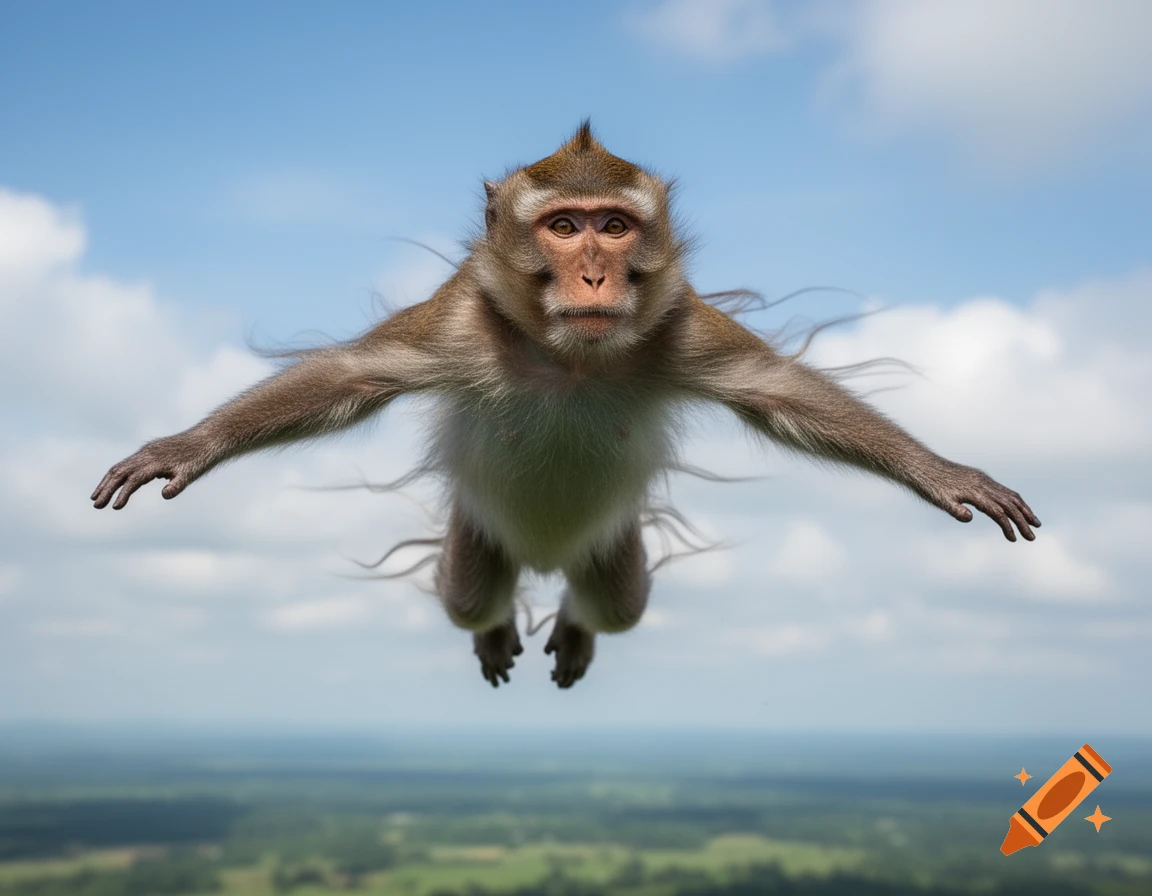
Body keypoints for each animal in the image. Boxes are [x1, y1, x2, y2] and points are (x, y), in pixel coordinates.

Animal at [91, 122, 1040, 690]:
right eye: (562, 226)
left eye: (614, 228)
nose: (591, 274)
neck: (568, 361)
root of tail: (546, 562)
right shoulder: (460, 320)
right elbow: (352, 378)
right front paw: (190, 445)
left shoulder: (679, 323)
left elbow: (778, 393)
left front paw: (938, 471)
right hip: (482, 541)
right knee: (468, 589)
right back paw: (490, 627)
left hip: (607, 550)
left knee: (617, 599)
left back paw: (579, 625)